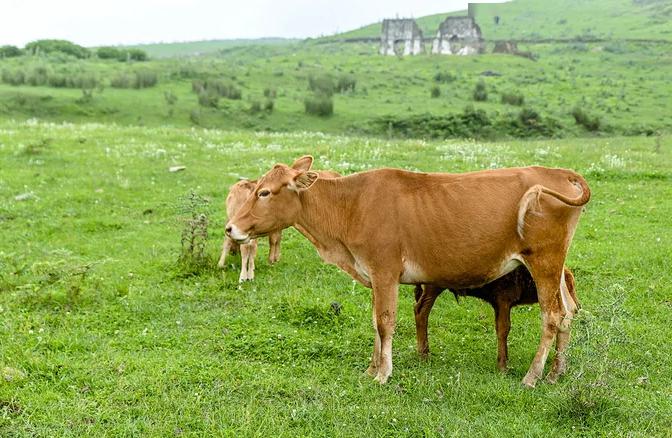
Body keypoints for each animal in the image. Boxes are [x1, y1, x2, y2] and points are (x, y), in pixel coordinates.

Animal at [414, 264, 576, 380]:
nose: (577, 306)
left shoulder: (501, 303)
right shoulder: (503, 300)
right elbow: (503, 329)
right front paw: (503, 367)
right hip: (433, 285)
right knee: (421, 311)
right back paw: (423, 356)